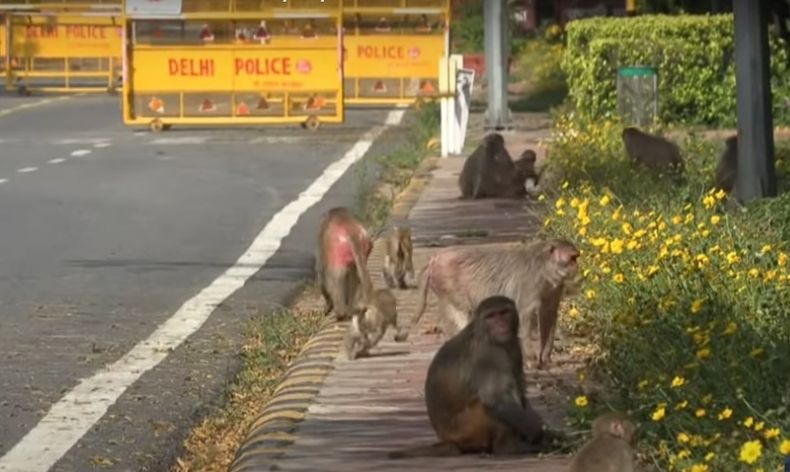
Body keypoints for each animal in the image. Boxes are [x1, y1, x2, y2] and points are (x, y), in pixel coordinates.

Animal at [388, 296, 554, 458]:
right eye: (491, 316)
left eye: (504, 313)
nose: (501, 324)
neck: (485, 333)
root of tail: (446, 439)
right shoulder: (489, 354)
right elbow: (496, 399)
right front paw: (539, 431)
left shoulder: (514, 347)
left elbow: (520, 392)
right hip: (465, 430)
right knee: (486, 406)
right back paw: (507, 448)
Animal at [399, 238, 580, 370]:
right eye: (571, 256)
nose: (578, 260)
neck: (546, 267)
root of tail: (434, 259)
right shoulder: (530, 283)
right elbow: (525, 315)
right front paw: (531, 360)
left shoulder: (553, 288)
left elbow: (548, 314)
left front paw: (546, 358)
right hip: (448, 284)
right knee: (462, 312)